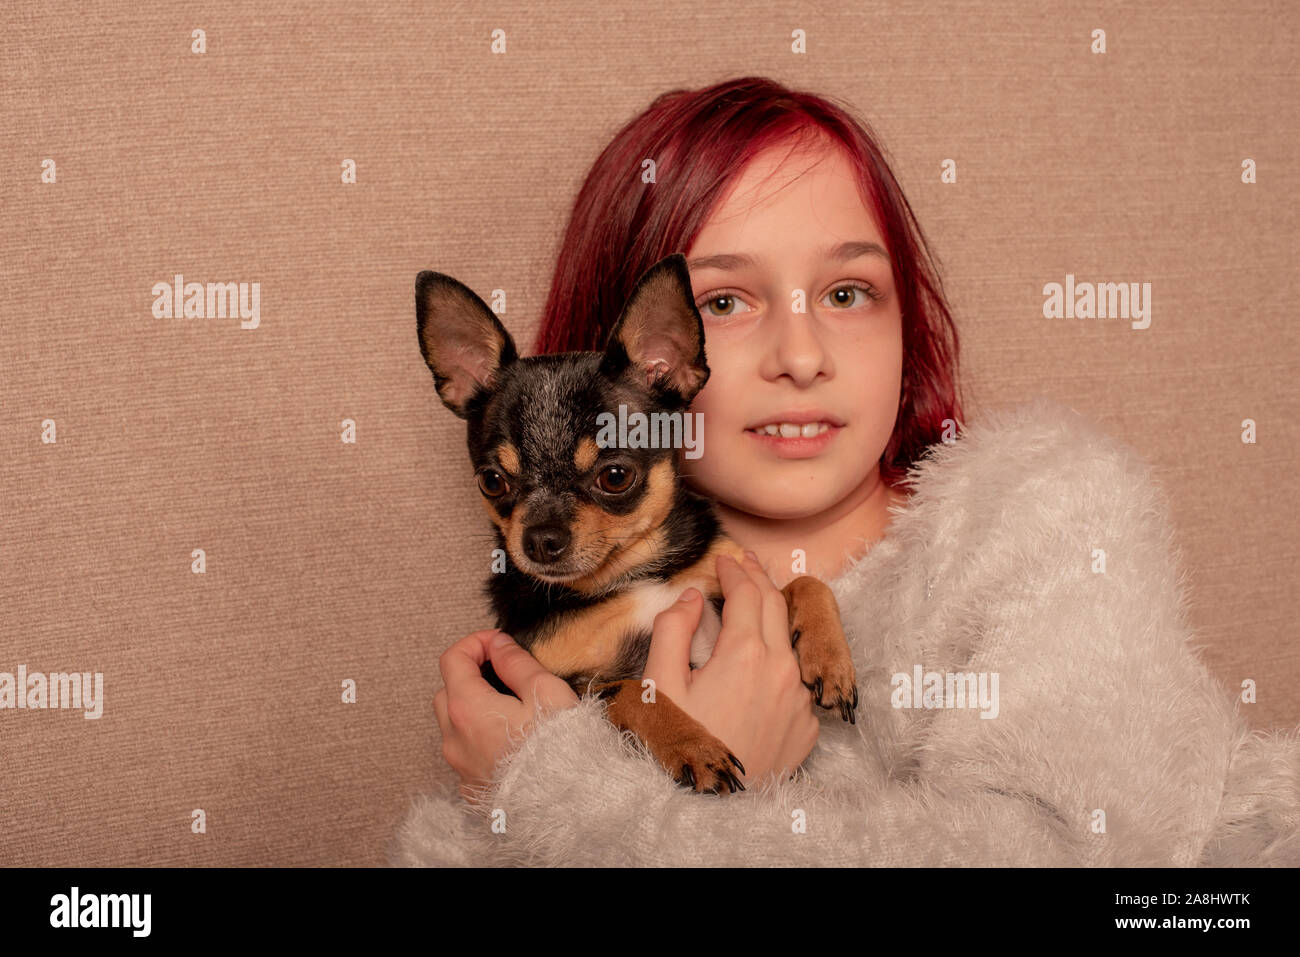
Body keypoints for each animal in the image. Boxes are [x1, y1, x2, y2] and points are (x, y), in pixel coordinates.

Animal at [416, 252, 857, 790]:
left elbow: (805, 583)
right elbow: (633, 690)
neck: (634, 572)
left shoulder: (741, 580)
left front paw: (830, 659)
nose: (540, 539)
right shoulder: (576, 687)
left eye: (615, 476)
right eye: (492, 482)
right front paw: (693, 745)